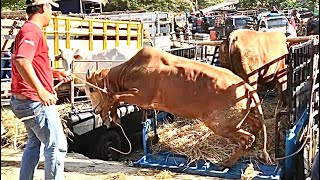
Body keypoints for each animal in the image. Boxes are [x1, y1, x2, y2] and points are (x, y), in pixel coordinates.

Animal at [85, 46, 272, 167]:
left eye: (91, 89)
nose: (94, 110)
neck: (131, 69)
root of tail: (246, 87)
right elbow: (115, 99)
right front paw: (112, 116)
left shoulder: (142, 96)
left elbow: (114, 96)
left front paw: (108, 115)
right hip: (240, 116)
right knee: (255, 125)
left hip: (221, 124)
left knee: (248, 138)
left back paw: (226, 163)